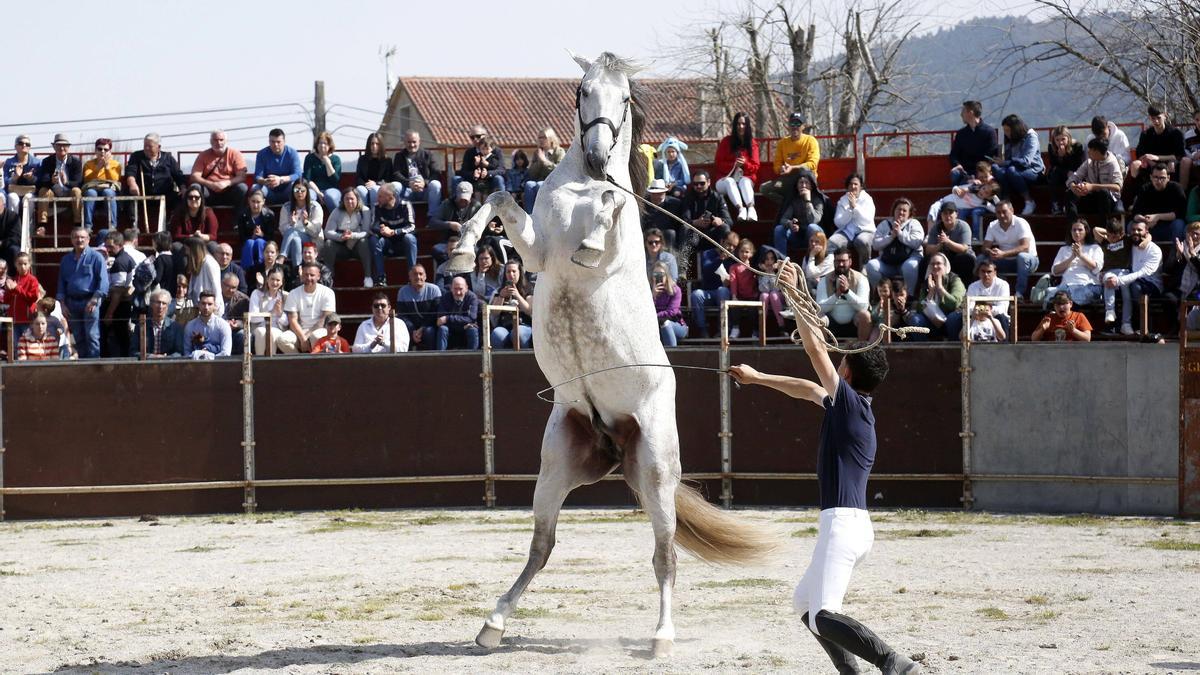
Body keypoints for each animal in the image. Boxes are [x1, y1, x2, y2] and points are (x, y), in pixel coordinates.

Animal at [446, 52, 772, 658]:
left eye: (623, 100)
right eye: (582, 91)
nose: (599, 157)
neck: (582, 184)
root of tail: (613, 440)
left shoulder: (602, 235)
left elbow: (616, 201)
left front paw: (594, 236)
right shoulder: (537, 251)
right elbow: (499, 198)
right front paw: (460, 251)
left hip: (658, 472)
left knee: (665, 555)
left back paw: (662, 638)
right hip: (557, 467)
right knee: (542, 546)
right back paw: (492, 625)